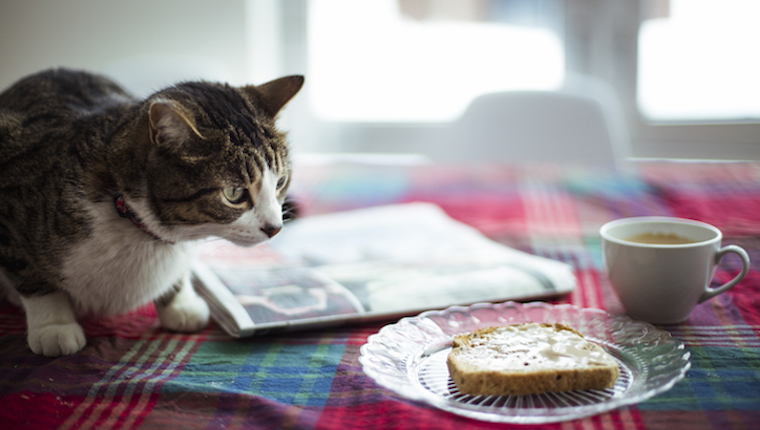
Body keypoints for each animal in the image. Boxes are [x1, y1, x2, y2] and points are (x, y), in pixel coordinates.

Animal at [0, 67, 302, 356]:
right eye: (234, 193)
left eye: (280, 182)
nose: (275, 228)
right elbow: (31, 275)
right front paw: (53, 325)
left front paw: (179, 303)